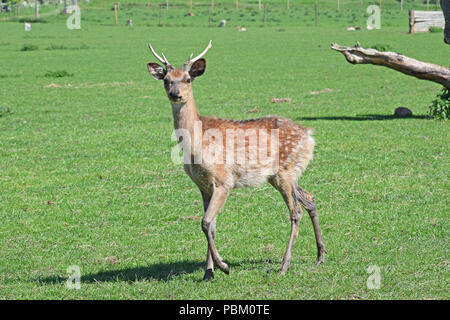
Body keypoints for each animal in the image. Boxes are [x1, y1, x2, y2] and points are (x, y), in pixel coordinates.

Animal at [148, 40, 326, 280]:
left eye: (187, 79)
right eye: (166, 80)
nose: (175, 94)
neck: (196, 148)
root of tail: (309, 136)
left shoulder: (224, 180)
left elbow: (205, 222)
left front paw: (223, 266)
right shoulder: (203, 185)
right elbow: (211, 225)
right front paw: (208, 273)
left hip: (285, 171)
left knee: (295, 212)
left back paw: (284, 266)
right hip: (283, 174)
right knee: (309, 198)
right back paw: (320, 256)